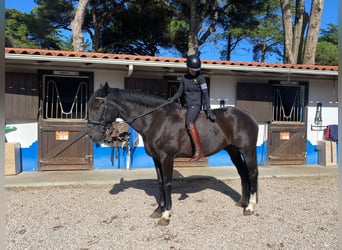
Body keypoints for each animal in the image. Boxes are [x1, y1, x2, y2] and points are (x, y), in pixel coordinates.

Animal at [87, 82, 258, 227]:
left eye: (98, 105)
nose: (92, 135)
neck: (156, 121)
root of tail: (249, 117)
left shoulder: (166, 158)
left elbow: (167, 183)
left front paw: (166, 215)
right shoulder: (156, 159)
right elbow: (160, 182)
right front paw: (158, 210)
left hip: (248, 151)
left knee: (252, 174)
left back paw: (250, 206)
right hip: (233, 151)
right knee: (243, 173)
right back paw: (243, 202)